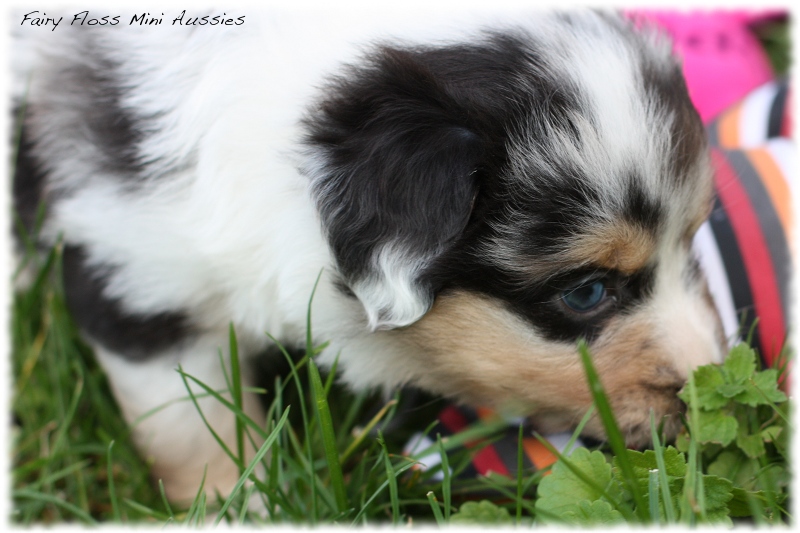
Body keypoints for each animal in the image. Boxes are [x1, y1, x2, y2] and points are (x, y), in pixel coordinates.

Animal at [10, 9, 724, 502]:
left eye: (692, 241)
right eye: (585, 293)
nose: (706, 397)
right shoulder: (139, 276)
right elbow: (190, 428)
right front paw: (235, 505)